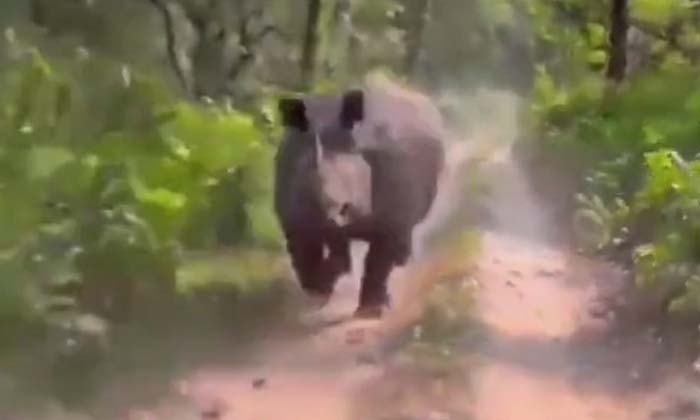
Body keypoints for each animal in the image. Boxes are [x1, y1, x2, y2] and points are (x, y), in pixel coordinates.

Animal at [274, 84, 445, 318]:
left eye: (355, 182)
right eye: (303, 187)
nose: (327, 216)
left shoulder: (389, 214)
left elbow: (379, 259)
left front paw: (371, 311)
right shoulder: (294, 213)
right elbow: (305, 252)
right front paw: (318, 292)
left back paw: (401, 260)